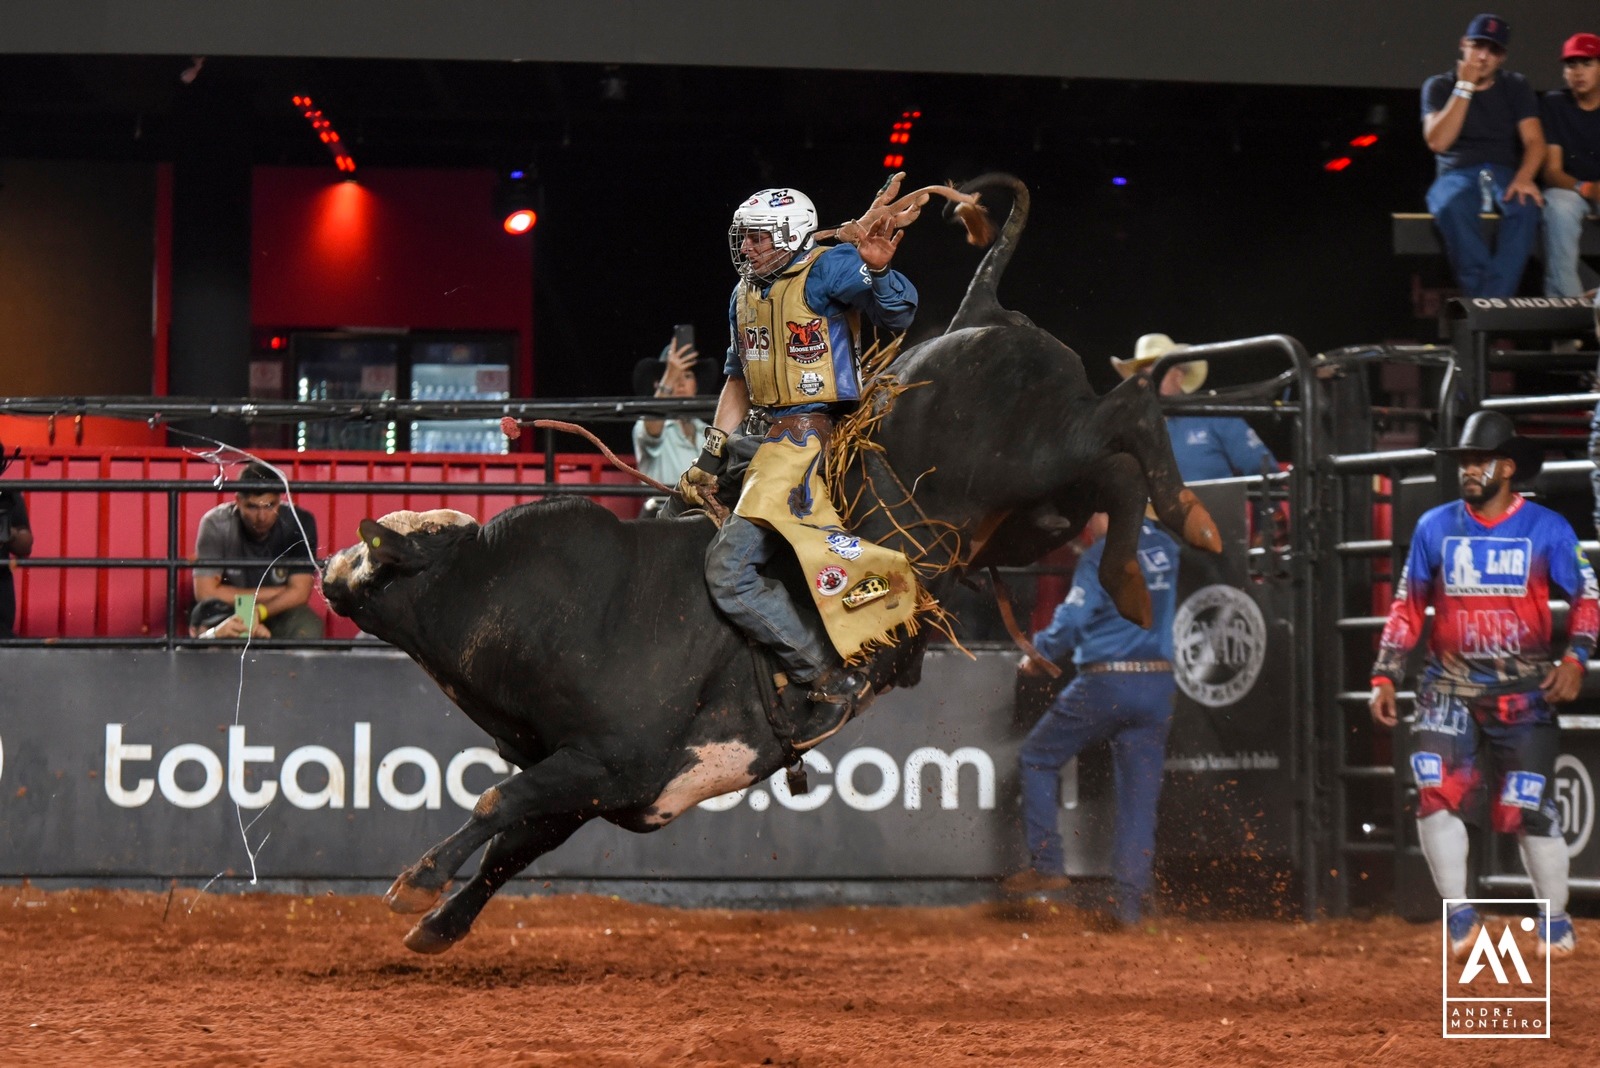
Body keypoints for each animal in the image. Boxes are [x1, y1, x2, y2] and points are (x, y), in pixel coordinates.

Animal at [318, 175, 1209, 952]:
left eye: (387, 553)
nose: (330, 564)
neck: (513, 599)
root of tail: (981, 312)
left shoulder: (608, 755)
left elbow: (496, 802)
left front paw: (416, 881)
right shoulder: (602, 781)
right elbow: (513, 842)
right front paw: (440, 923)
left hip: (1032, 459)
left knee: (1124, 420)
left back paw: (1186, 523)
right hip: (1032, 517)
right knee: (1116, 480)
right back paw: (1142, 567)